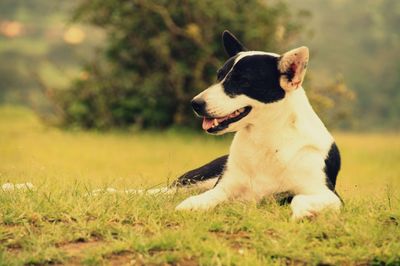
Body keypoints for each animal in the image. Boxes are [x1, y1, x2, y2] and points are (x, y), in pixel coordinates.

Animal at [171, 30, 340, 219]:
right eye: (219, 76)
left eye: (242, 81)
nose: (195, 103)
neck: (266, 139)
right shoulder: (224, 186)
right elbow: (203, 198)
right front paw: (191, 206)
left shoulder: (329, 194)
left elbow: (298, 199)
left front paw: (303, 213)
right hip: (198, 177)